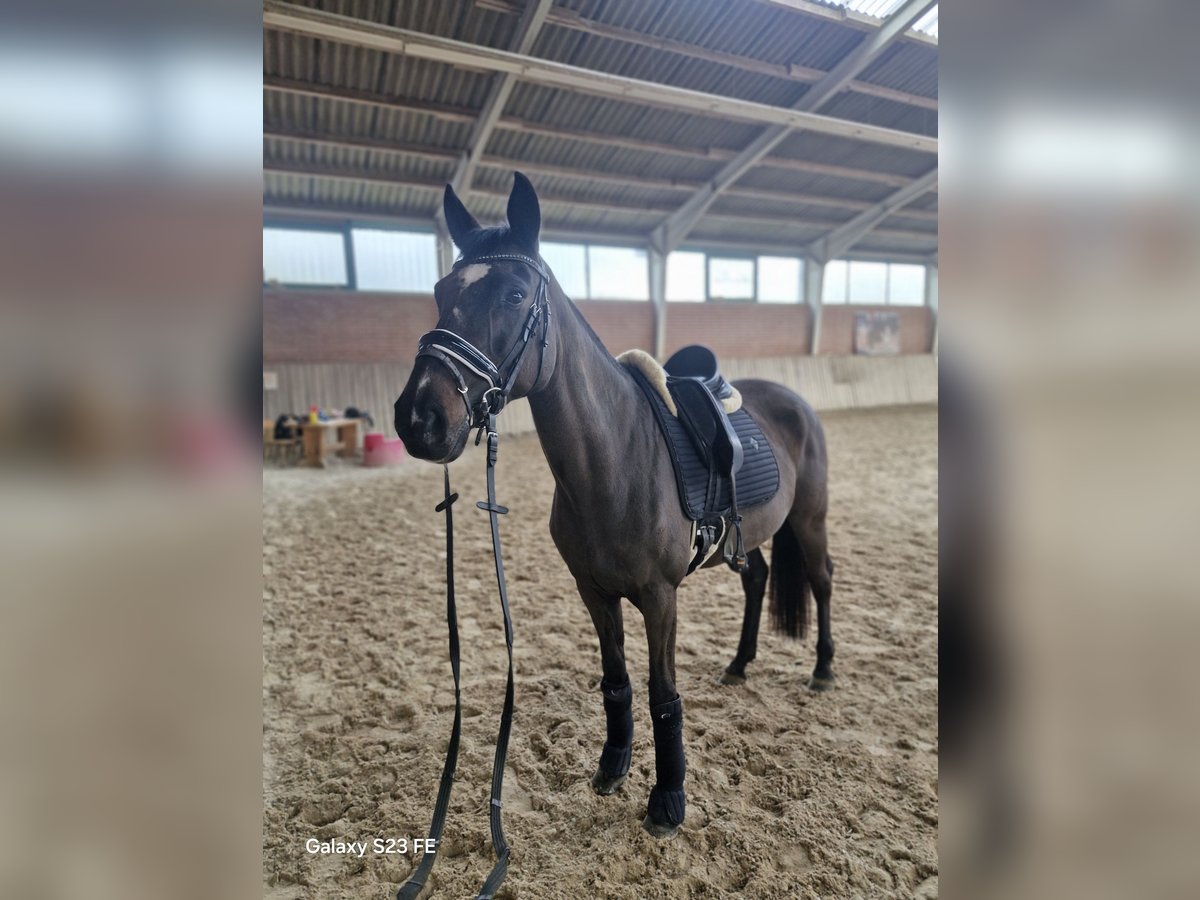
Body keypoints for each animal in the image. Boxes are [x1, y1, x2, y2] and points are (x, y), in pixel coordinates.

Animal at [394, 172, 835, 840]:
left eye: (516, 294)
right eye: (443, 291)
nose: (419, 417)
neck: (616, 460)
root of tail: (793, 399)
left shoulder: (660, 596)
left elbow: (661, 694)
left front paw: (669, 800)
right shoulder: (593, 591)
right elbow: (617, 682)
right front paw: (613, 767)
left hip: (809, 521)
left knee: (823, 579)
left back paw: (823, 669)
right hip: (750, 535)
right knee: (757, 579)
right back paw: (739, 664)